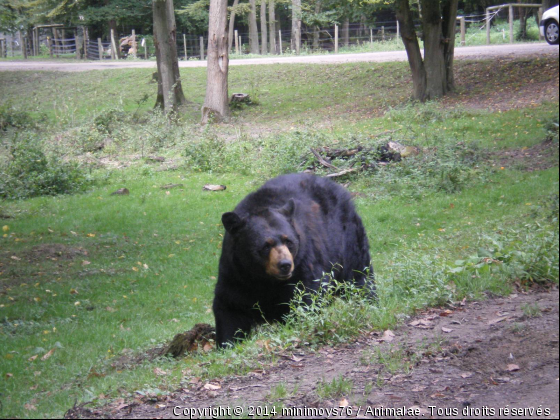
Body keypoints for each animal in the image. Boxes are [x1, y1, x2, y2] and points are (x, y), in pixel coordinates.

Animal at [212, 172, 374, 346]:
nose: (285, 265)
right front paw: (227, 343)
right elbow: (230, 309)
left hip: (347, 240)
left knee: (360, 277)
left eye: (288, 241)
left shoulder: (303, 264)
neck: (264, 279)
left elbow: (306, 297)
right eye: (266, 246)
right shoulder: (236, 274)